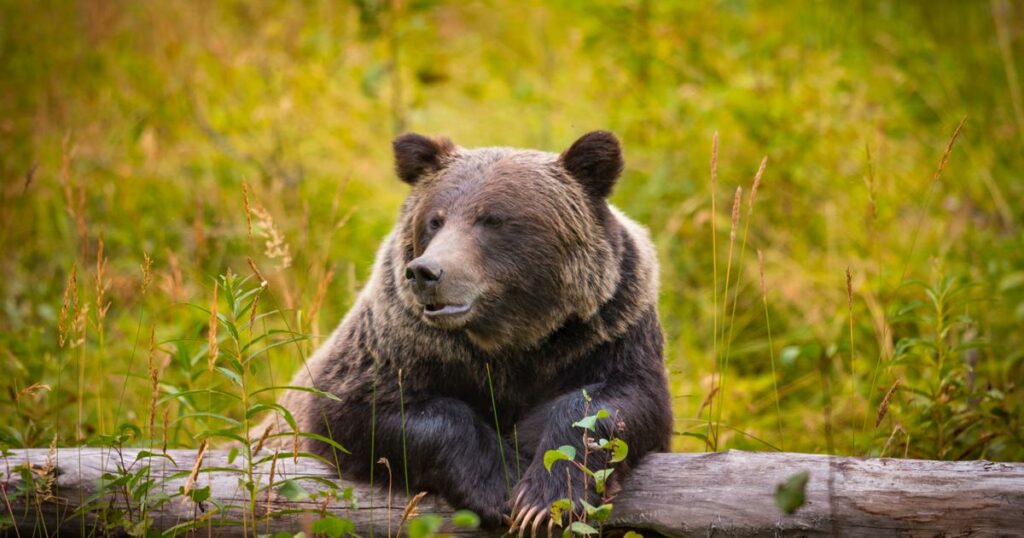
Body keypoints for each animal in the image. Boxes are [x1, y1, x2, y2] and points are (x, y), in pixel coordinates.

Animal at [268, 131, 675, 532]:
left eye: (492, 219)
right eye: (435, 220)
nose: (426, 272)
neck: (510, 340)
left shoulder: (608, 331)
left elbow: (618, 401)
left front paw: (543, 499)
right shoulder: (398, 343)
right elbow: (360, 407)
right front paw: (501, 483)